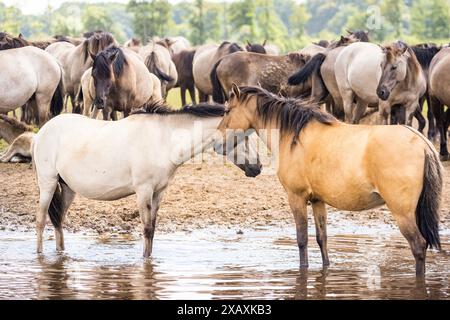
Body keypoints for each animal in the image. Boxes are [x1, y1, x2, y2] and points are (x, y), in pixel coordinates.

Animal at [31, 102, 260, 258]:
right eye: (245, 136)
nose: (258, 167)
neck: (164, 141)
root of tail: (42, 132)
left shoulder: (159, 192)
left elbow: (152, 229)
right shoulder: (144, 191)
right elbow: (146, 229)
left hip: (68, 188)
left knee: (59, 221)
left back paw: (61, 253)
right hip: (48, 183)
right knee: (41, 220)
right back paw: (39, 254)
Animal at [218, 85, 442, 278]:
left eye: (227, 110)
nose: (217, 142)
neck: (293, 137)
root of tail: (421, 142)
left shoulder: (296, 198)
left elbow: (302, 239)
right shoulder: (318, 200)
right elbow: (321, 239)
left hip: (402, 213)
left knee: (418, 246)